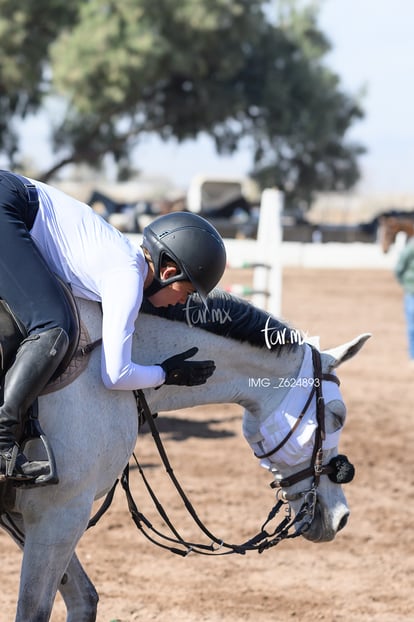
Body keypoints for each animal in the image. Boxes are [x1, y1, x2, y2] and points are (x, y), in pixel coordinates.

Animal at [0, 290, 368, 620]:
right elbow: (35, 611)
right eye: (338, 416)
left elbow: (84, 598)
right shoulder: (61, 512)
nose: (341, 517)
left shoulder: (28, 516)